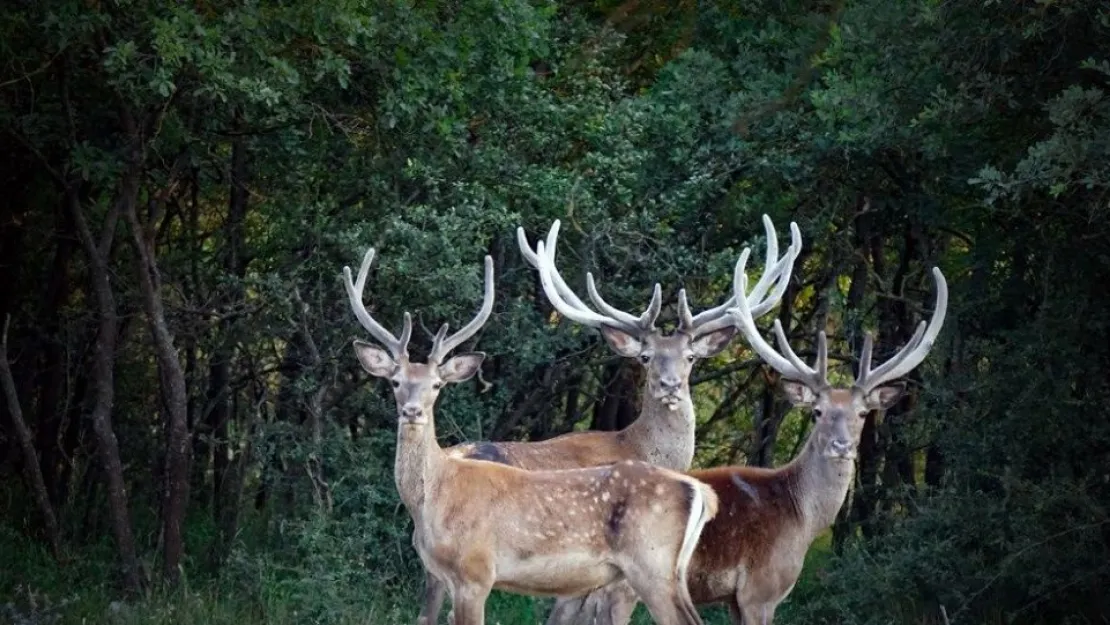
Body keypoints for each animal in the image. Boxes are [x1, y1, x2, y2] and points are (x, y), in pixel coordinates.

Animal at [348, 247, 728, 625]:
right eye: (395, 381)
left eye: (437, 385)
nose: (412, 411)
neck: (436, 497)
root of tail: (701, 491)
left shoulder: (476, 572)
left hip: (650, 564)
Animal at [599, 250, 945, 625]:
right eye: (817, 411)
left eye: (863, 413)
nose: (841, 445)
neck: (801, 518)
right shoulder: (759, 590)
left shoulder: (735, 600)